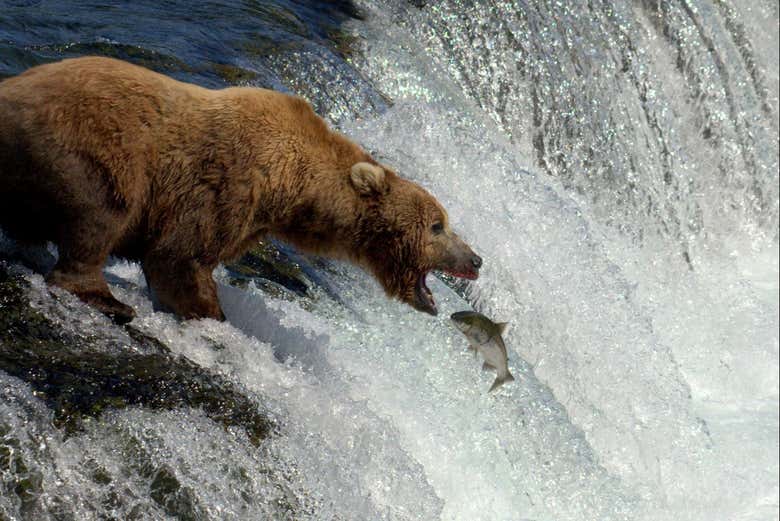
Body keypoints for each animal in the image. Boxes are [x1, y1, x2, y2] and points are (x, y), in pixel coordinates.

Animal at [0, 58, 482, 324]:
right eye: (437, 226)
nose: (476, 259)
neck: (293, 189)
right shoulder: (227, 183)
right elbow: (179, 257)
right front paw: (211, 314)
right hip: (85, 147)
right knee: (101, 213)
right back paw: (106, 299)